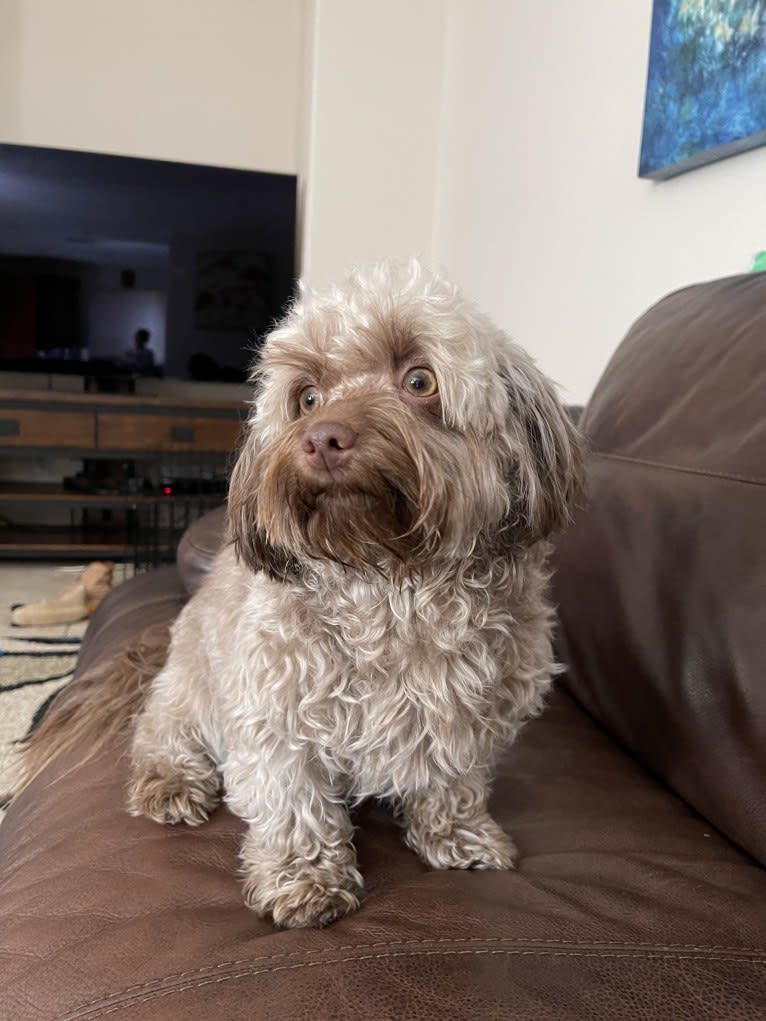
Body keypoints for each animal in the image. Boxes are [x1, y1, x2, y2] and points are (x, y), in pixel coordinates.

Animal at [19, 261, 580, 927]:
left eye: (419, 379)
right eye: (307, 397)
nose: (322, 438)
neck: (392, 584)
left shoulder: (474, 718)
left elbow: (453, 781)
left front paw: (459, 835)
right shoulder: (274, 710)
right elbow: (292, 799)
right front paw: (304, 879)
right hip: (191, 690)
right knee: (158, 734)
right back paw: (171, 782)